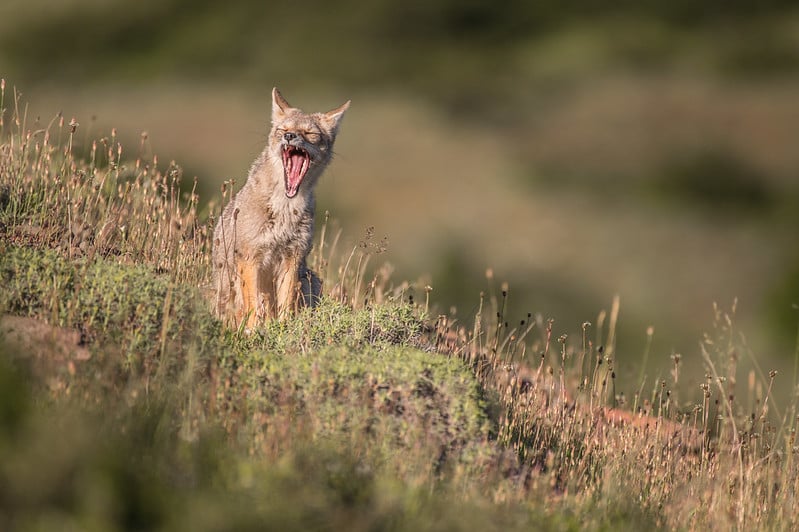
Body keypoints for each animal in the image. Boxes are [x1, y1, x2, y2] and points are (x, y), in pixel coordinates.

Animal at [212, 88, 350, 328]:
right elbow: (253, 304)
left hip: (309, 278)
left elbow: (286, 303)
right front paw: (253, 330)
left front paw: (284, 329)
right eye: (283, 130)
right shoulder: (250, 256)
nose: (289, 136)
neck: (285, 208)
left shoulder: (293, 256)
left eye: (309, 133)